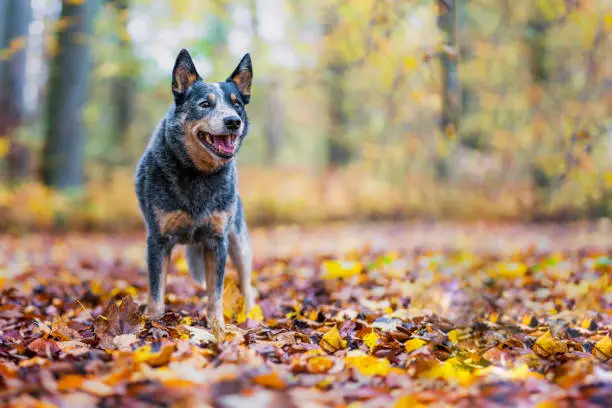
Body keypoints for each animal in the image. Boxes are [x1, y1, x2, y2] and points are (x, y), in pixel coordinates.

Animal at [135, 48, 255, 334]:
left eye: (237, 103)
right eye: (205, 104)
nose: (233, 121)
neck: (199, 175)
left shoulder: (217, 241)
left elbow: (216, 293)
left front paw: (218, 326)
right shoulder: (158, 240)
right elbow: (156, 290)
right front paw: (152, 322)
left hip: (239, 242)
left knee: (247, 285)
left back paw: (251, 316)